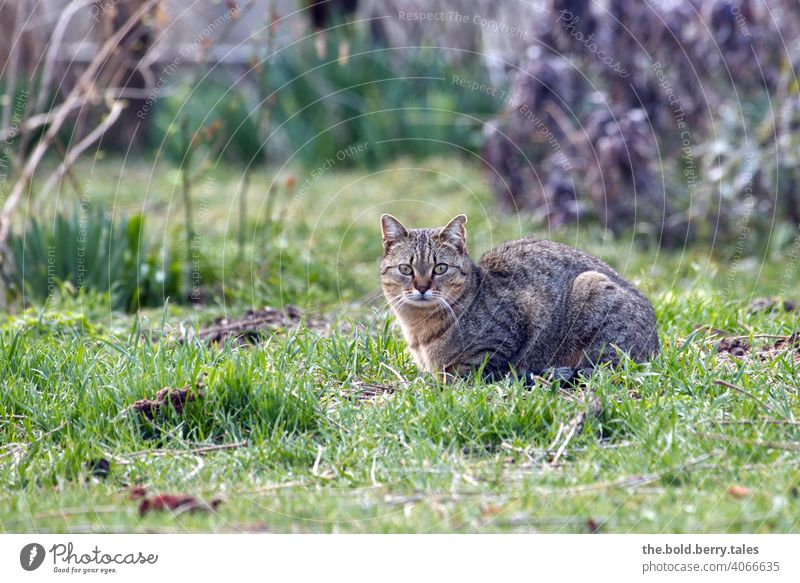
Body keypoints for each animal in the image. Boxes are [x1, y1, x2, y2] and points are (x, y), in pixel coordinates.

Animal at [380, 212, 656, 380]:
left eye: (440, 268)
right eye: (406, 269)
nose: (422, 287)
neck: (419, 329)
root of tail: (658, 349)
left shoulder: (500, 340)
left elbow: (467, 369)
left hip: (591, 287)